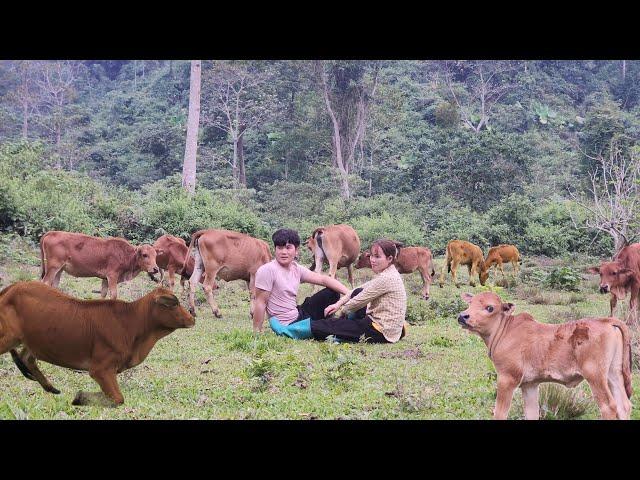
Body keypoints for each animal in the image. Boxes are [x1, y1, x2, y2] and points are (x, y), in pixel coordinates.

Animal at [0, 280, 195, 406]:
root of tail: (12, 287)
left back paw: (50, 388)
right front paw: (80, 398)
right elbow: (117, 399)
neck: (131, 323)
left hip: (31, 340)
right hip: (9, 337)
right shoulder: (100, 369)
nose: (192, 318)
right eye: (174, 304)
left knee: (26, 357)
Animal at [458, 290, 632, 418]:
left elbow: (500, 413)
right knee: (623, 405)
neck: (505, 330)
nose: (462, 316)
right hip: (613, 373)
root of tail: (605, 321)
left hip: (595, 374)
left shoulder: (507, 379)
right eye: (470, 304)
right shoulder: (530, 384)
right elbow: (532, 413)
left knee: (609, 406)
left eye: (490, 308)